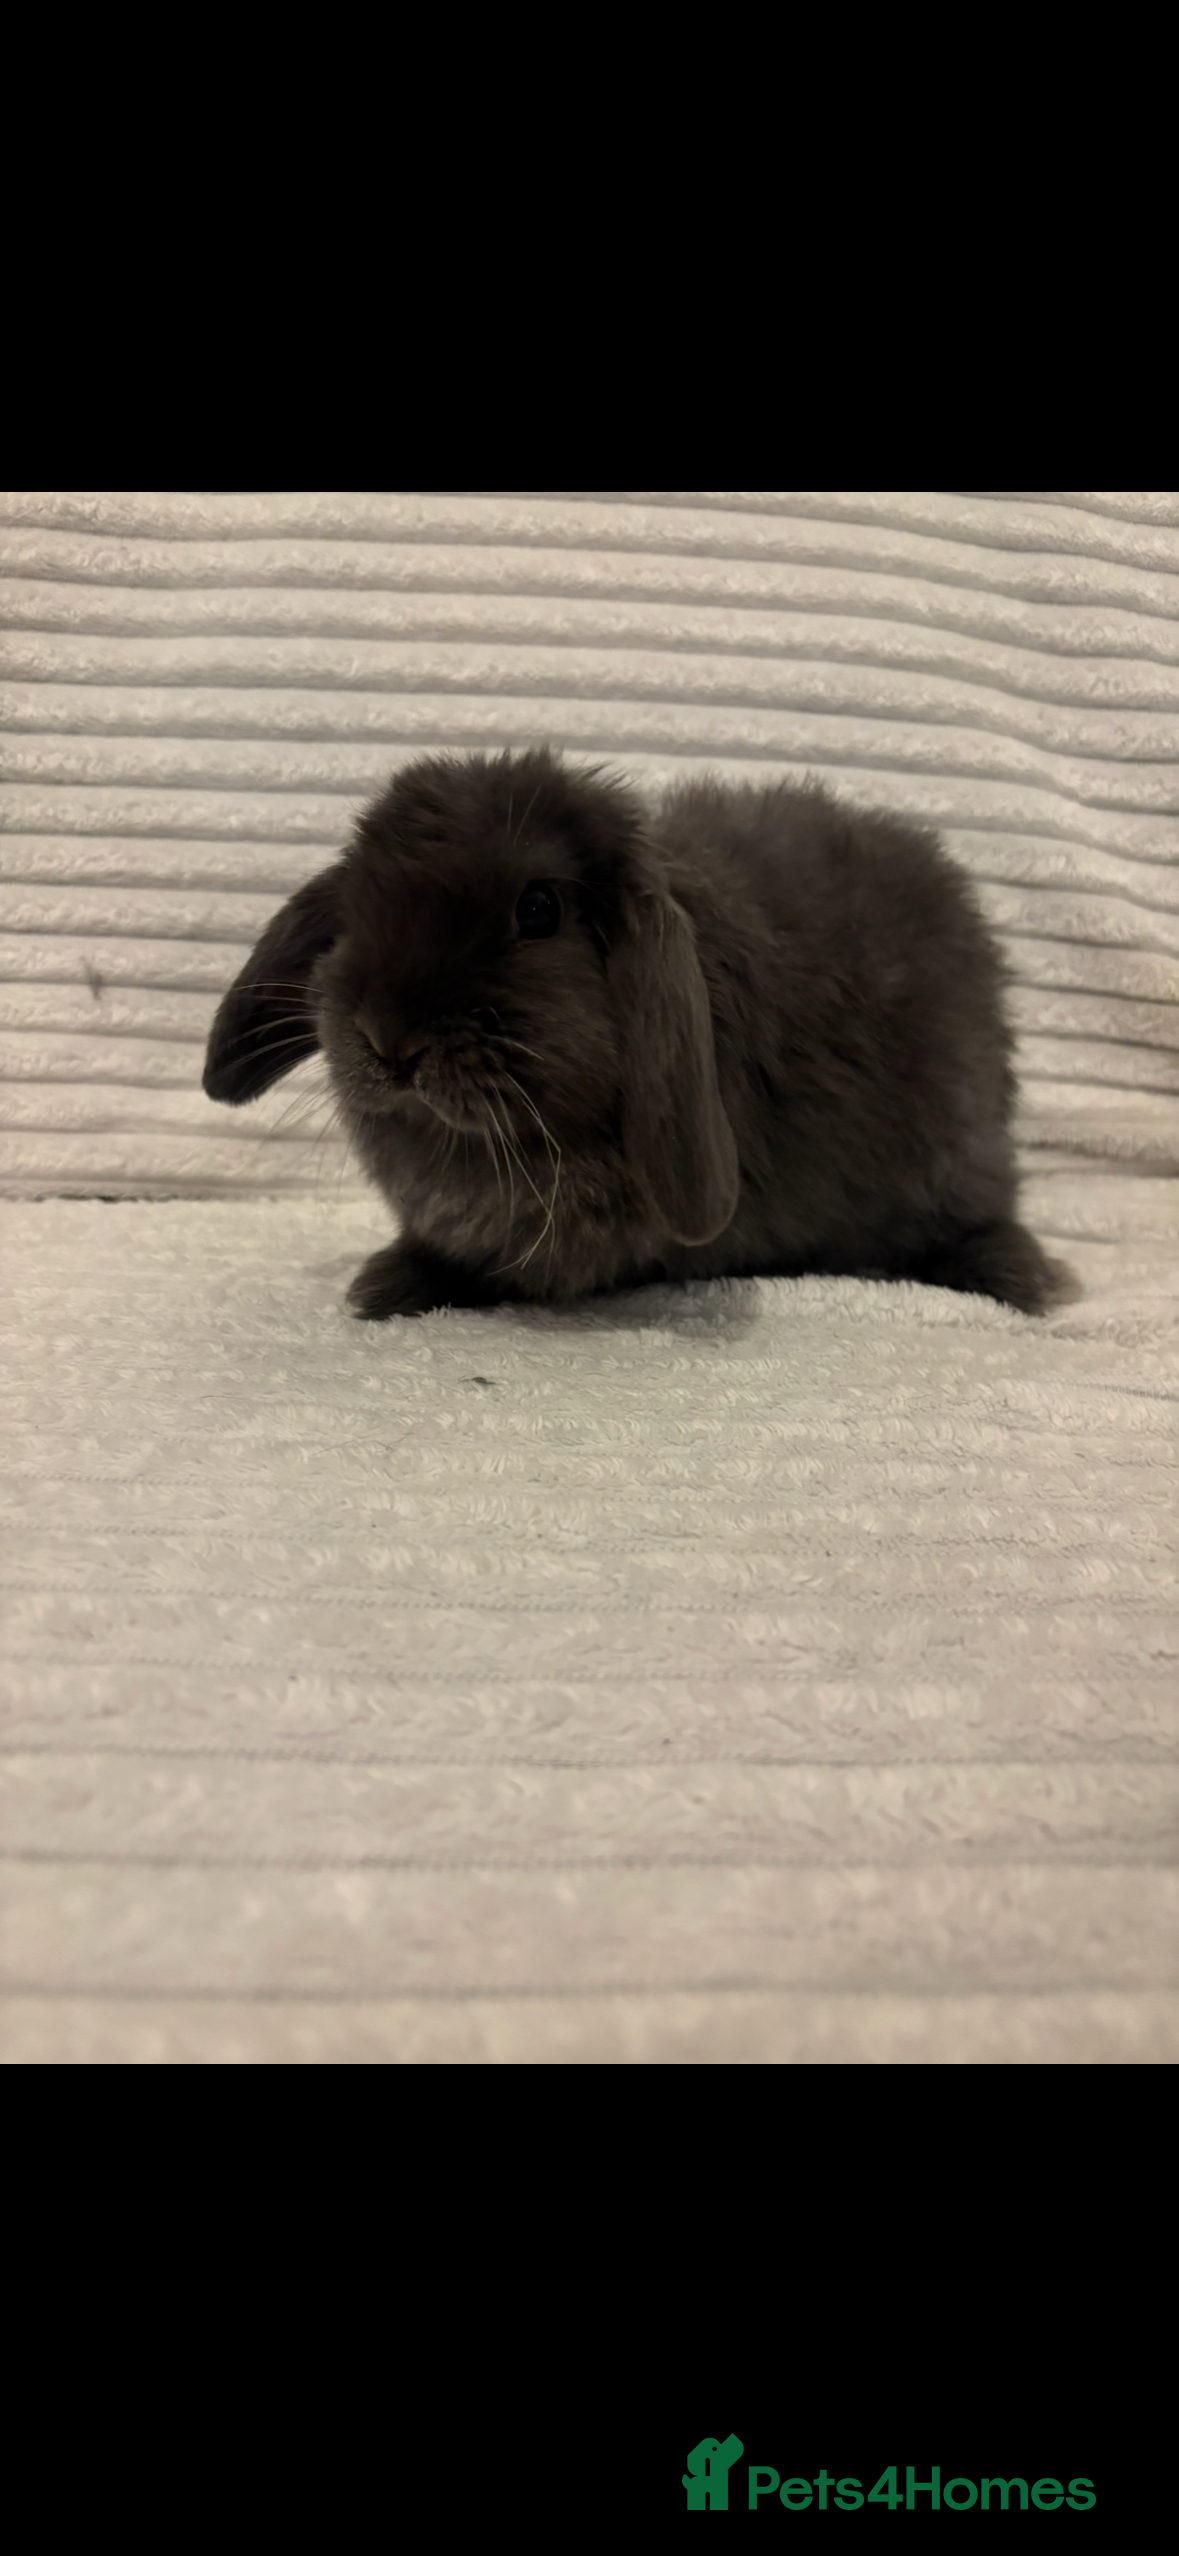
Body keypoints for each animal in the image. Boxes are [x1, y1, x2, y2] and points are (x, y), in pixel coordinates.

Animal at [203, 747, 1075, 1320]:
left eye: (538, 910)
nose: (387, 1037)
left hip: (953, 1155)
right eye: (355, 909)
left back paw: (1019, 1278)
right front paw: (386, 1285)